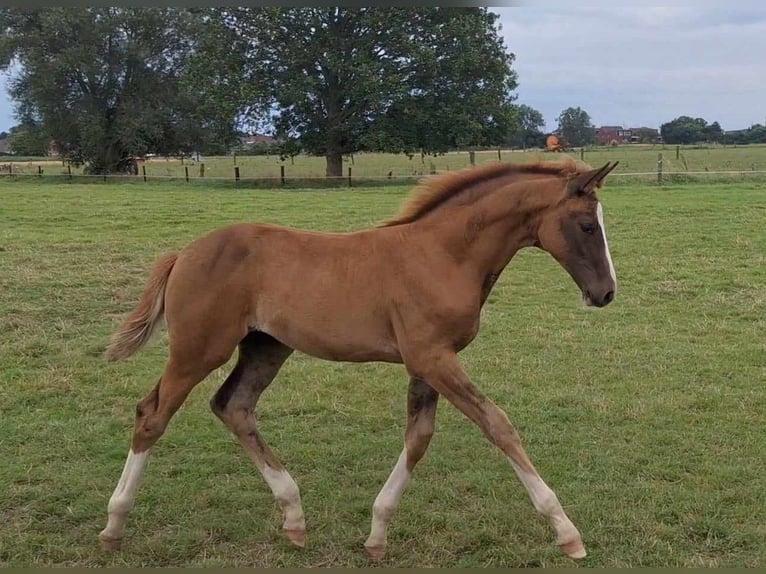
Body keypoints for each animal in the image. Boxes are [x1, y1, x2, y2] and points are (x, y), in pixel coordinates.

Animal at [99, 159, 620, 564]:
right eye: (587, 226)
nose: (606, 294)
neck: (444, 254)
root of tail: (184, 253)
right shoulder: (433, 357)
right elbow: (498, 425)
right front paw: (566, 531)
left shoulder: (427, 361)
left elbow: (419, 436)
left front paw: (377, 534)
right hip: (199, 350)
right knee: (153, 414)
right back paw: (114, 524)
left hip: (267, 346)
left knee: (233, 406)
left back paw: (294, 517)